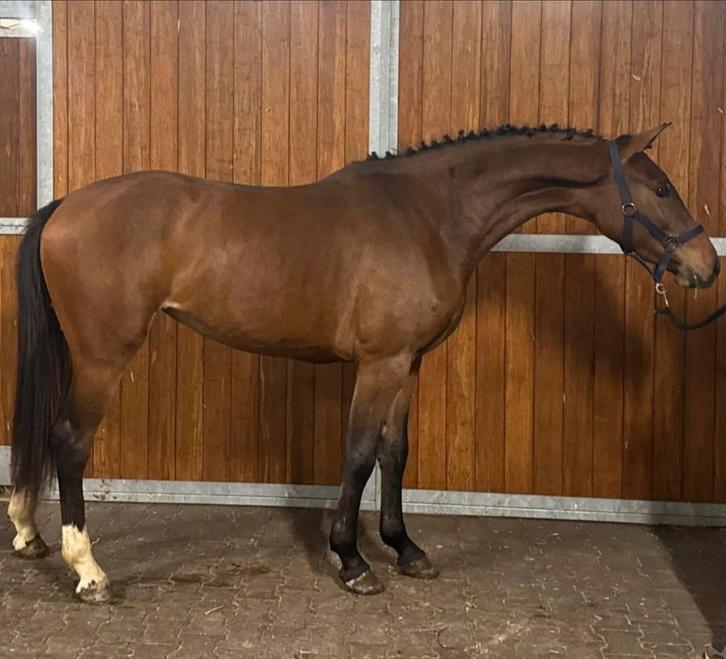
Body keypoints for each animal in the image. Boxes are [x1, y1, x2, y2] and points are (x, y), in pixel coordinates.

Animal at [7, 122, 719, 603]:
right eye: (662, 187)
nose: (705, 266)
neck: (427, 217)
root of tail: (68, 205)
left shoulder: (408, 364)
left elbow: (394, 453)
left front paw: (405, 548)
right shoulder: (379, 364)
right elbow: (356, 453)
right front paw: (352, 561)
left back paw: (28, 533)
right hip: (103, 359)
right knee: (69, 441)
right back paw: (88, 569)